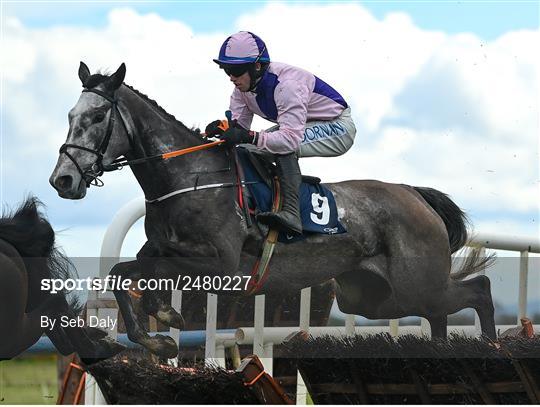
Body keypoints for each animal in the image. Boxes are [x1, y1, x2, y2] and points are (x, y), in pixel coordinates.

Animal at [48, 62, 496, 358]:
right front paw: (163, 319)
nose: (62, 180)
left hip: (414, 283)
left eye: (97, 115)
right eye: (70, 115)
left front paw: (157, 332)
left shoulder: (220, 265)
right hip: (375, 299)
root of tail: (414, 194)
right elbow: (131, 270)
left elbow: (129, 272)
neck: (187, 175)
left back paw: (492, 347)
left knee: (478, 290)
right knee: (438, 313)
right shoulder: (165, 250)